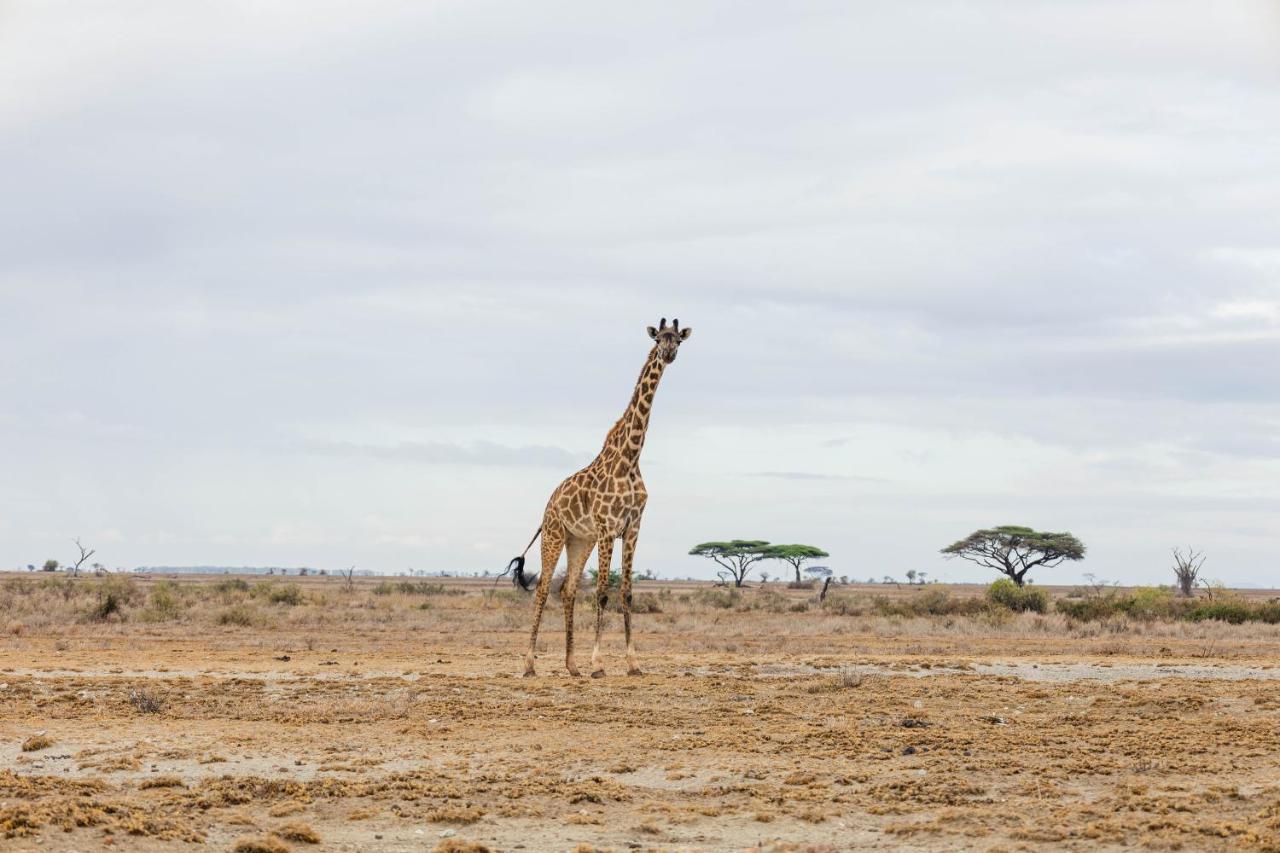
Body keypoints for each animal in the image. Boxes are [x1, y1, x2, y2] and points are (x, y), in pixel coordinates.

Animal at [504, 315, 696, 676]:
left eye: (678, 339)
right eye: (658, 339)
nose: (668, 354)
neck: (631, 456)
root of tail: (549, 504)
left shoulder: (632, 528)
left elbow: (627, 593)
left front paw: (632, 663)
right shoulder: (608, 527)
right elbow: (603, 592)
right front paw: (598, 663)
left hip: (580, 540)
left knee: (566, 590)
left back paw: (571, 665)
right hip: (555, 535)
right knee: (542, 589)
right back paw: (530, 664)